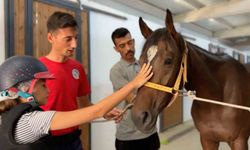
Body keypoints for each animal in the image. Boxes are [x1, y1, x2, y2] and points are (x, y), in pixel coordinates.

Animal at [131, 9, 250, 150]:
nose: (139, 117)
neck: (217, 98)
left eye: (168, 60)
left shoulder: (240, 141)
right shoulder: (207, 139)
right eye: (140, 61)